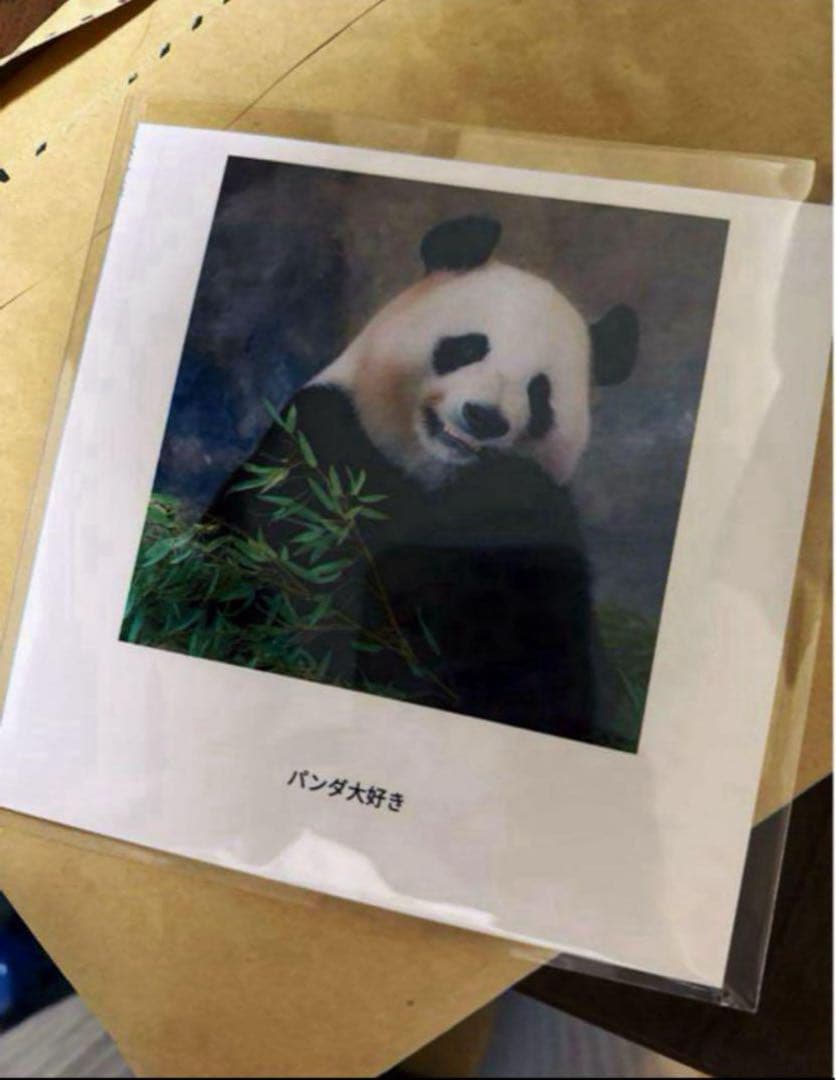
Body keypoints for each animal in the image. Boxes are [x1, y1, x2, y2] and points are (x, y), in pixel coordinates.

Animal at [207, 215, 639, 742]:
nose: (484, 417)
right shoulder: (323, 443)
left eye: (540, 393)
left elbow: (538, 645)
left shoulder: (540, 531)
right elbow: (302, 574)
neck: (429, 475)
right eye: (469, 347)